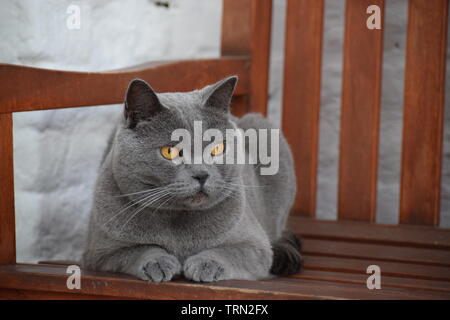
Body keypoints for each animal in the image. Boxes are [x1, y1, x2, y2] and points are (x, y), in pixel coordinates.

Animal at [84, 76, 302, 282]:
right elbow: (137, 250)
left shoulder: (256, 246)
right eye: (170, 151)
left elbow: (231, 252)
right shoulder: (99, 251)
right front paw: (158, 262)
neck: (178, 222)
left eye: (217, 148)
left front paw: (205, 264)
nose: (202, 174)